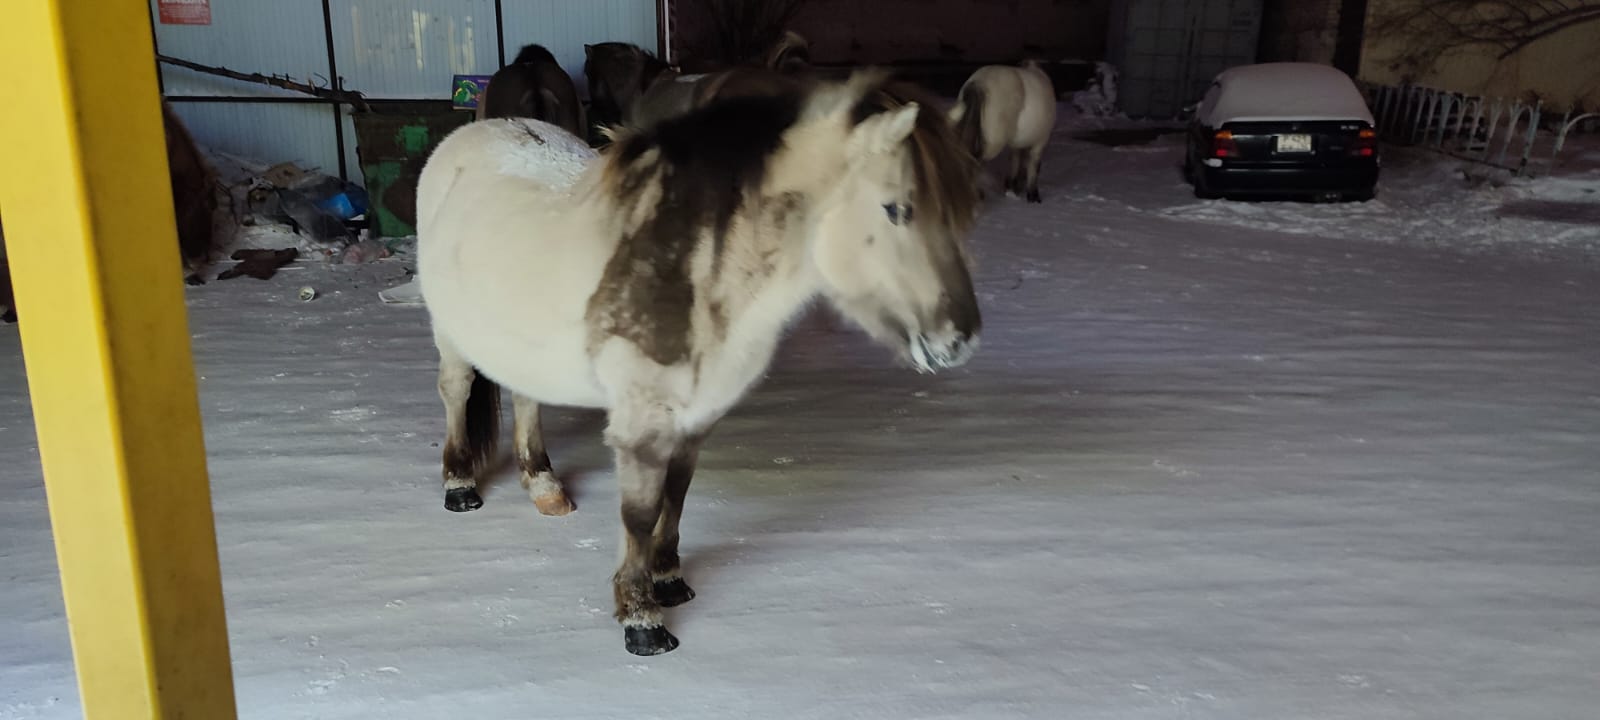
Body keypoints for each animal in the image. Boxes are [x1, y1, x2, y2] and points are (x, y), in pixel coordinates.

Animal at [412, 70, 979, 656]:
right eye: (896, 208)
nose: (959, 339)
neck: (689, 271)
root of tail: (477, 132)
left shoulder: (698, 415)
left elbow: (676, 494)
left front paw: (669, 580)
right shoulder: (643, 422)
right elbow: (639, 513)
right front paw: (642, 620)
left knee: (527, 398)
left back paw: (544, 485)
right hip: (449, 332)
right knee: (456, 389)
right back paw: (460, 485)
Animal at [940, 59, 1056, 202]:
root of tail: (979, 82)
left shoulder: (1017, 145)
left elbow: (1015, 162)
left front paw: (1011, 188)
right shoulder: (1039, 143)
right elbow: (1033, 167)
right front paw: (1033, 196)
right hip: (993, 144)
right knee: (974, 161)